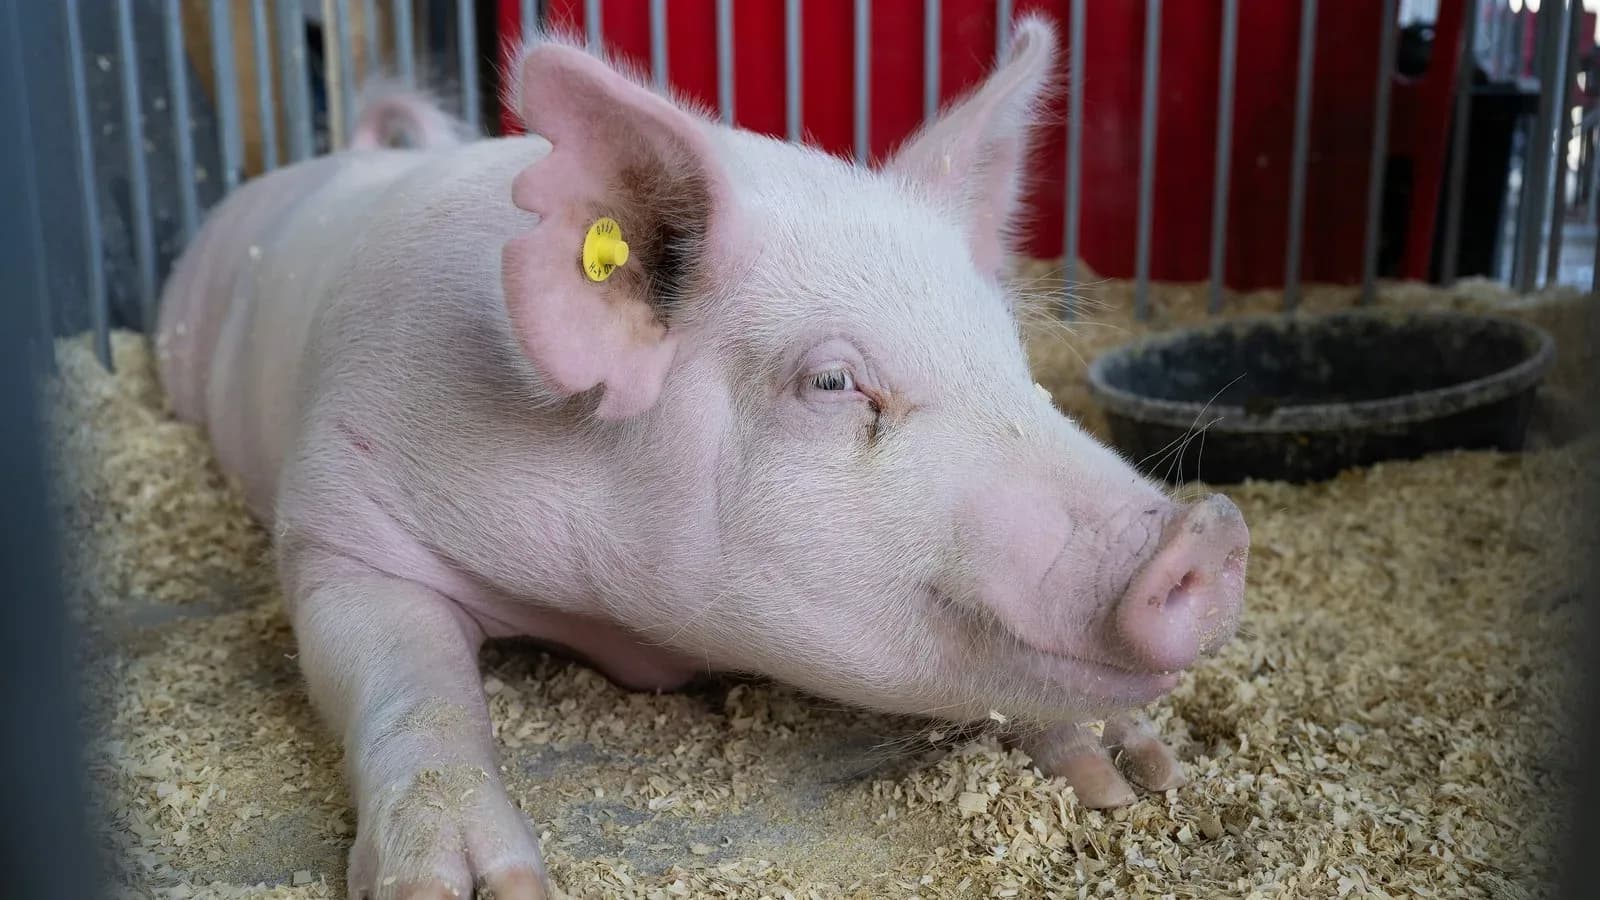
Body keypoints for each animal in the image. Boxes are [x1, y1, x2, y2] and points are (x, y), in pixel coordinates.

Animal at [154, 16, 1249, 900]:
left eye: (1015, 363)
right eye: (834, 383)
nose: (1209, 532)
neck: (633, 629)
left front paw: (1129, 777)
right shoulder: (339, 514)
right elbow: (408, 684)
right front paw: (469, 888)